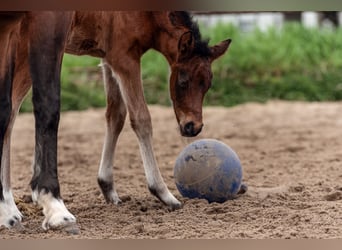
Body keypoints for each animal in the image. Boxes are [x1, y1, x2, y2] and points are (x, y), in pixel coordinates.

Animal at [0, 11, 231, 233]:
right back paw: (12, 208)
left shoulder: (108, 59)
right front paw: (164, 193)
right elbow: (141, 118)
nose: (193, 127)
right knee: (11, 114)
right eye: (183, 81)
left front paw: (107, 186)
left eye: (208, 84)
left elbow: (116, 115)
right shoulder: (124, 57)